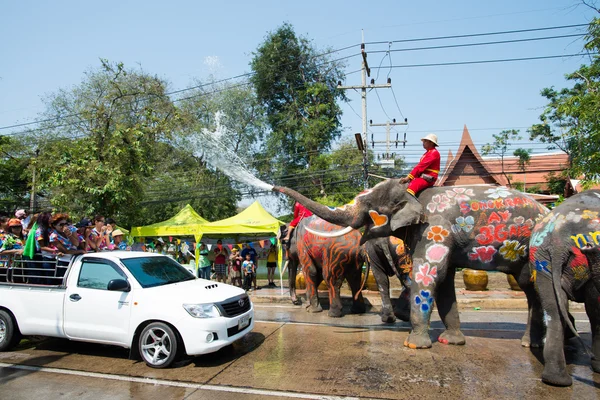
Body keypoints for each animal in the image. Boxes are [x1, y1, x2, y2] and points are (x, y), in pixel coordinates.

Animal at [274, 180, 552, 346]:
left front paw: (413, 344)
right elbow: (445, 281)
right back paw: (533, 344)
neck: (412, 196)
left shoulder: (435, 228)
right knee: (531, 288)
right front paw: (451, 342)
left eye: (368, 205)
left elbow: (428, 275)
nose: (276, 187)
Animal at [528, 189, 600, 386]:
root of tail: (558, 242)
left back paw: (556, 380)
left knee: (553, 308)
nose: (590, 248)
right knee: (593, 309)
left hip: (541, 259)